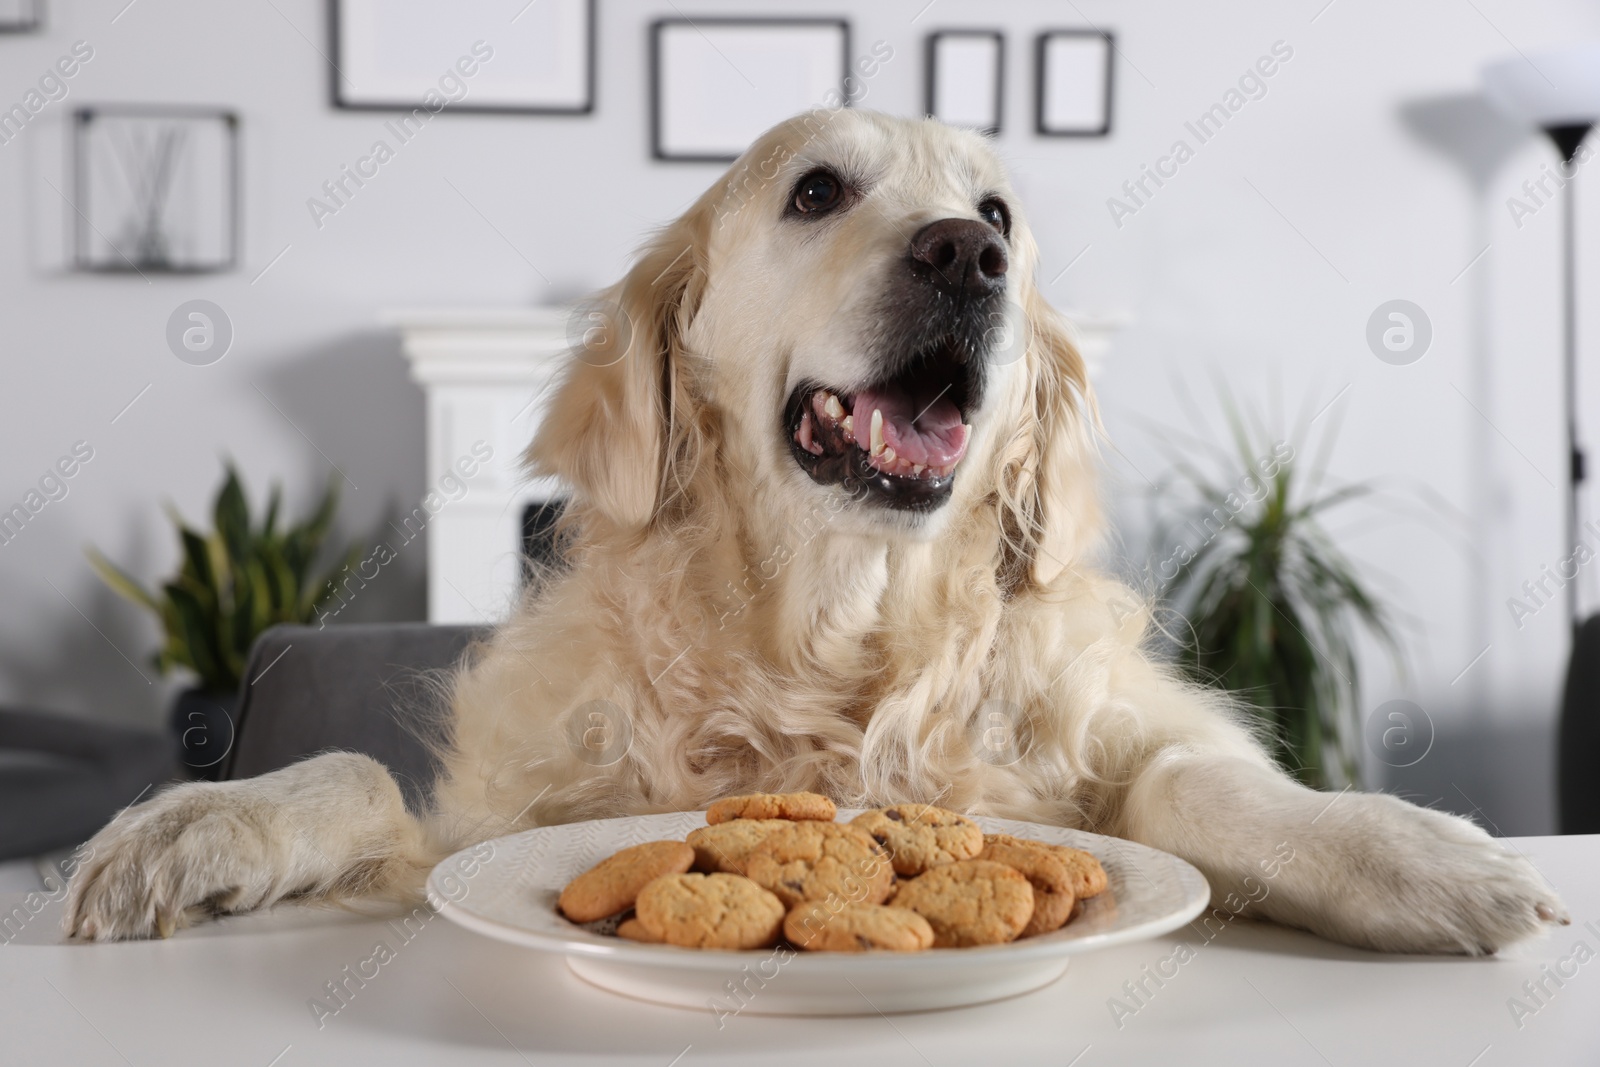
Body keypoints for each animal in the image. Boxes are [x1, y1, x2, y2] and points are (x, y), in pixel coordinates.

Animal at [68, 108, 1568, 953]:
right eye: (815, 192)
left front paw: (1413, 853)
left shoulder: (1129, 735)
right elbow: (354, 773)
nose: (970, 254)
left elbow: (1200, 781)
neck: (841, 639)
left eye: (1002, 210)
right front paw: (192, 828)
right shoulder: (490, 819)